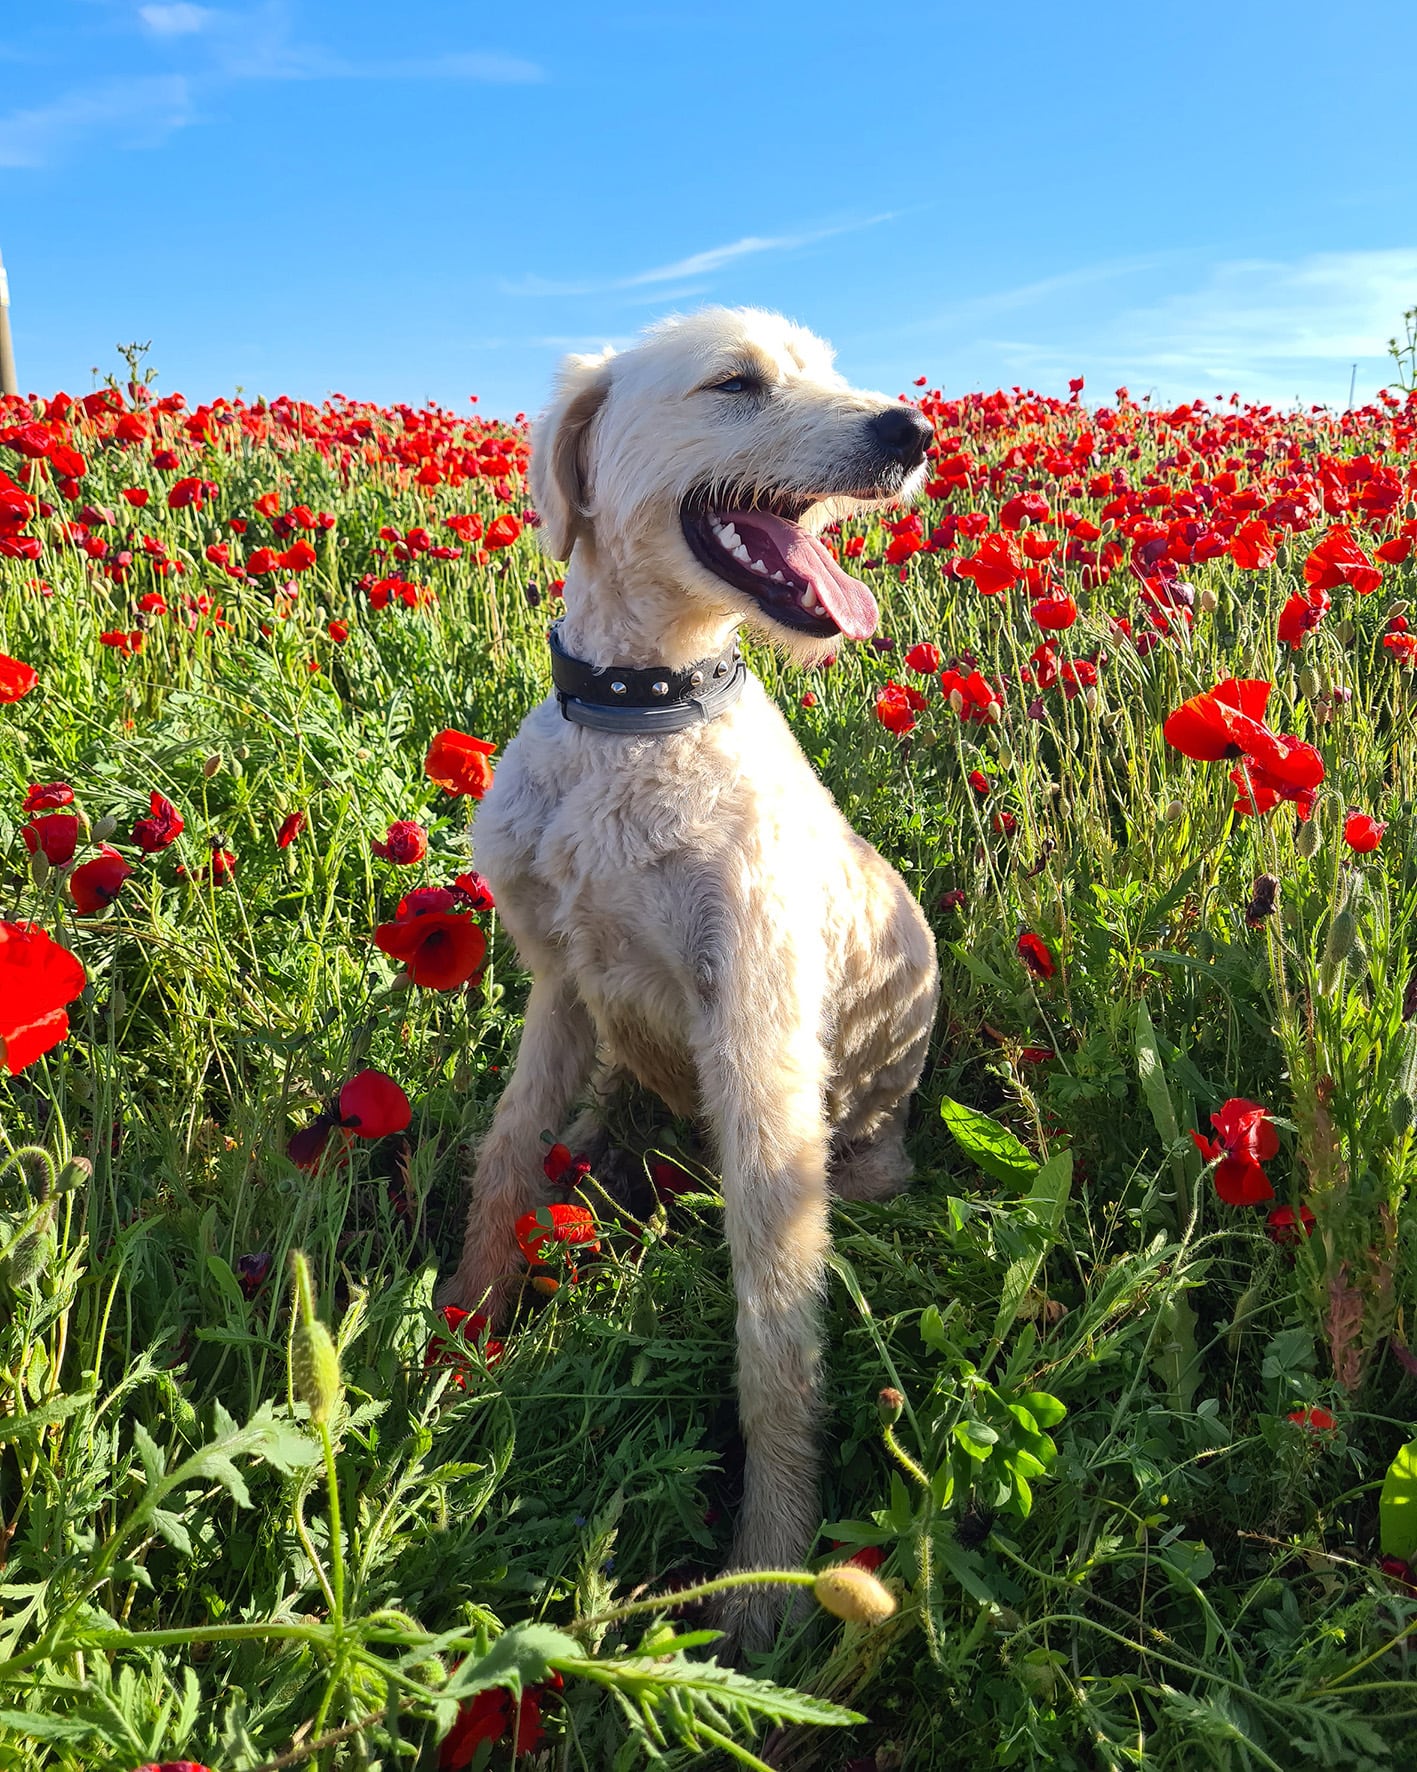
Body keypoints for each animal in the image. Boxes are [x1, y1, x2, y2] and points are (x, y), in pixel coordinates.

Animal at [446, 311, 942, 1651]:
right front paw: (457, 1329)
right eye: (734, 383)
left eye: (831, 371)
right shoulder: (560, 985)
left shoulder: (758, 1050)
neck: (643, 718)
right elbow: (506, 1152)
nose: (914, 429)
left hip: (857, 1154)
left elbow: (775, 1337)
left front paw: (765, 1579)